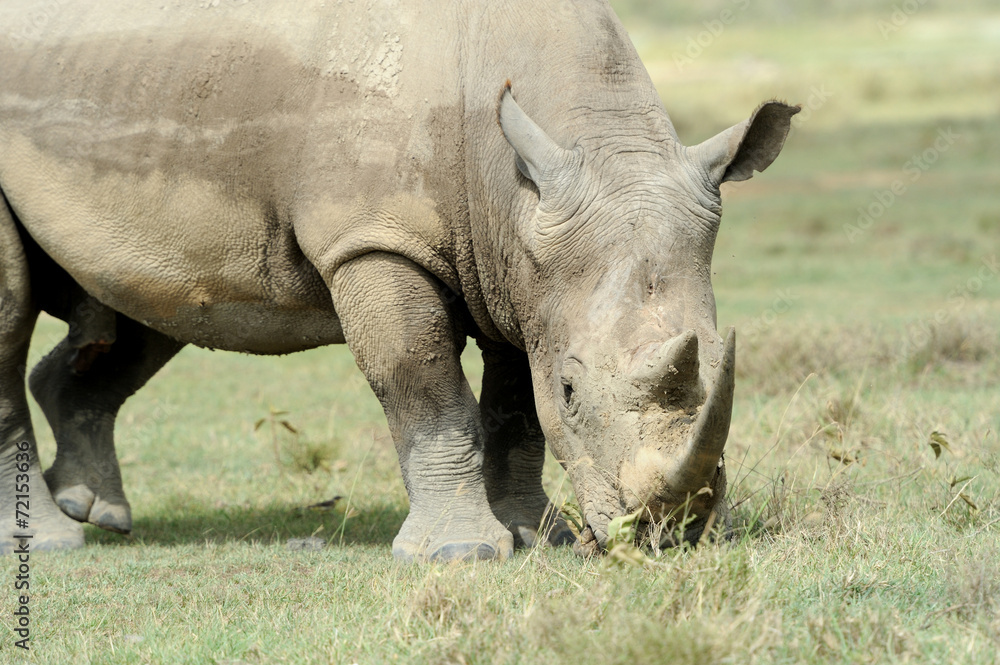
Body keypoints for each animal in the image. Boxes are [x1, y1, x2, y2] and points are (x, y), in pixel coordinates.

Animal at [0, 0, 797, 560]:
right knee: (15, 309)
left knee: (151, 298)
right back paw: (49, 540)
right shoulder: (375, 238)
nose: (669, 533)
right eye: (573, 391)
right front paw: (460, 551)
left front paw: (538, 536)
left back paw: (94, 510)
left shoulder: (518, 261)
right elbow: (421, 379)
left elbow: (515, 398)